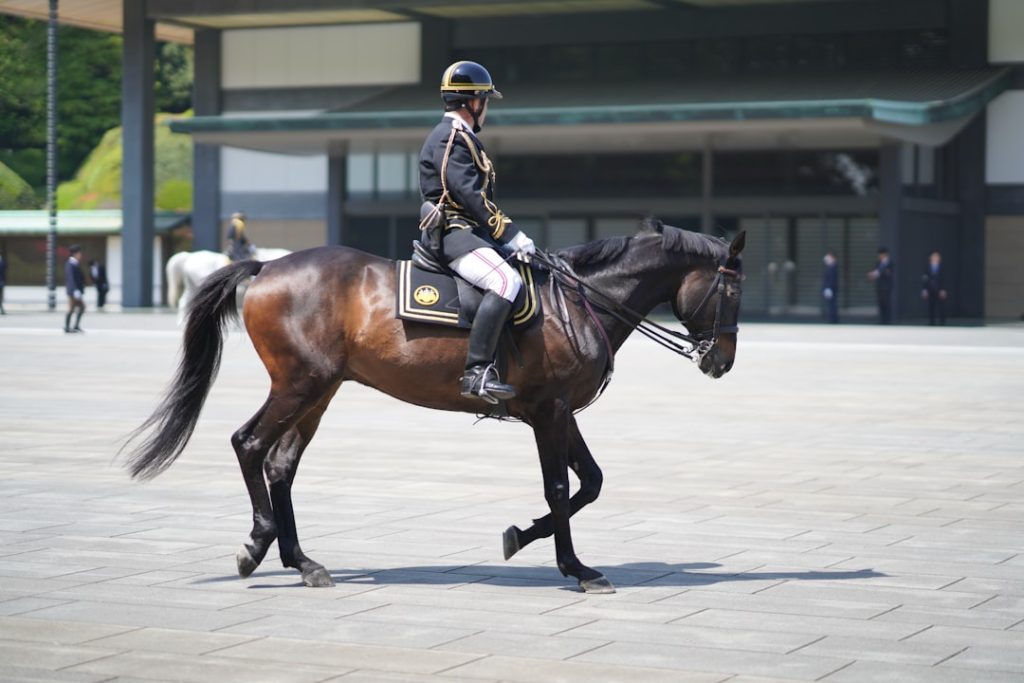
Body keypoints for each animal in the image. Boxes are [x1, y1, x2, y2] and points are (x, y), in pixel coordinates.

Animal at [124, 217, 745, 593]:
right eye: (733, 292)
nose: (722, 362)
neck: (577, 299)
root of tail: (269, 266)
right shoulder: (549, 411)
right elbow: (561, 487)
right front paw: (576, 567)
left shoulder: (558, 411)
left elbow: (589, 482)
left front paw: (520, 537)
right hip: (298, 385)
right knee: (250, 444)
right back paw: (257, 544)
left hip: (319, 391)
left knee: (281, 463)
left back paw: (303, 562)